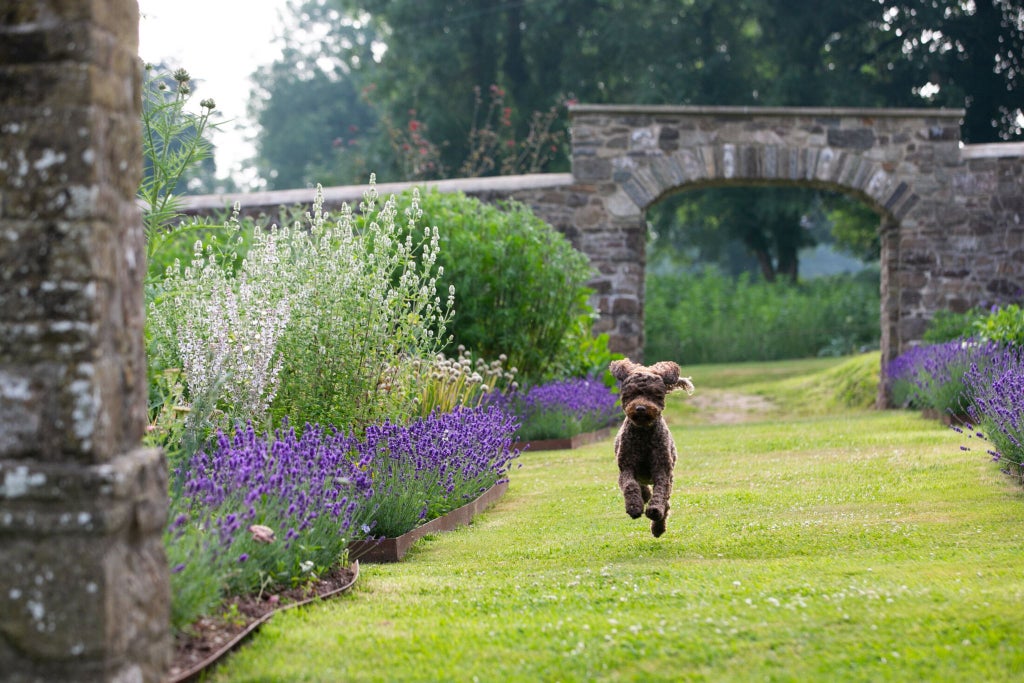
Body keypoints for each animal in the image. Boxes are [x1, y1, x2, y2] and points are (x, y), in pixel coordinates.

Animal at [610, 358, 692, 540]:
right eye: (632, 394)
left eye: (653, 394)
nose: (640, 408)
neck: (643, 435)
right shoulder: (626, 467)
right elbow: (630, 485)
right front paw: (634, 507)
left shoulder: (662, 470)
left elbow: (660, 492)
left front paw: (654, 510)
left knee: (666, 503)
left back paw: (658, 527)